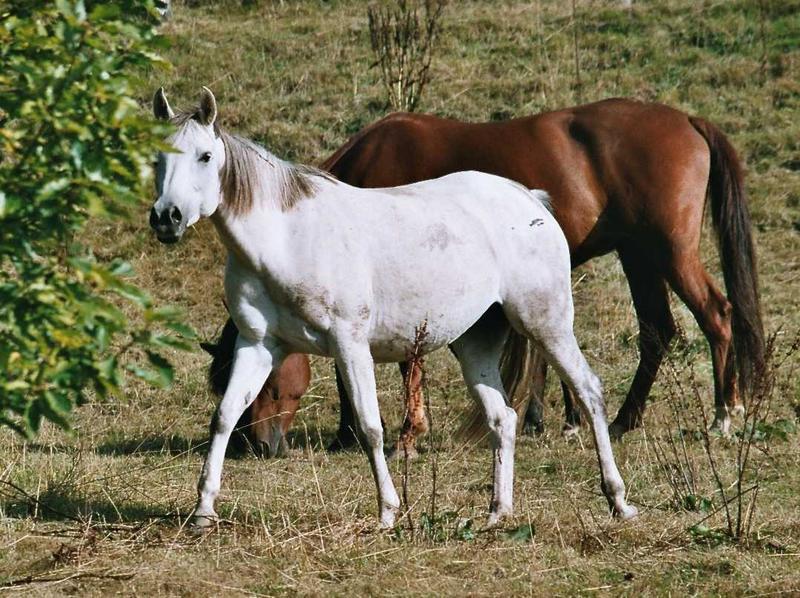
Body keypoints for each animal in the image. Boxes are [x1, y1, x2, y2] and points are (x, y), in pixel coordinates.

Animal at [216, 98, 764, 452]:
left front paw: (395, 432)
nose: (253, 444)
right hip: (639, 257)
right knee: (657, 332)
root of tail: (687, 119)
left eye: (269, 382)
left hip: (669, 252)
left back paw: (724, 415)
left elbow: (403, 362)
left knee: (716, 316)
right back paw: (625, 420)